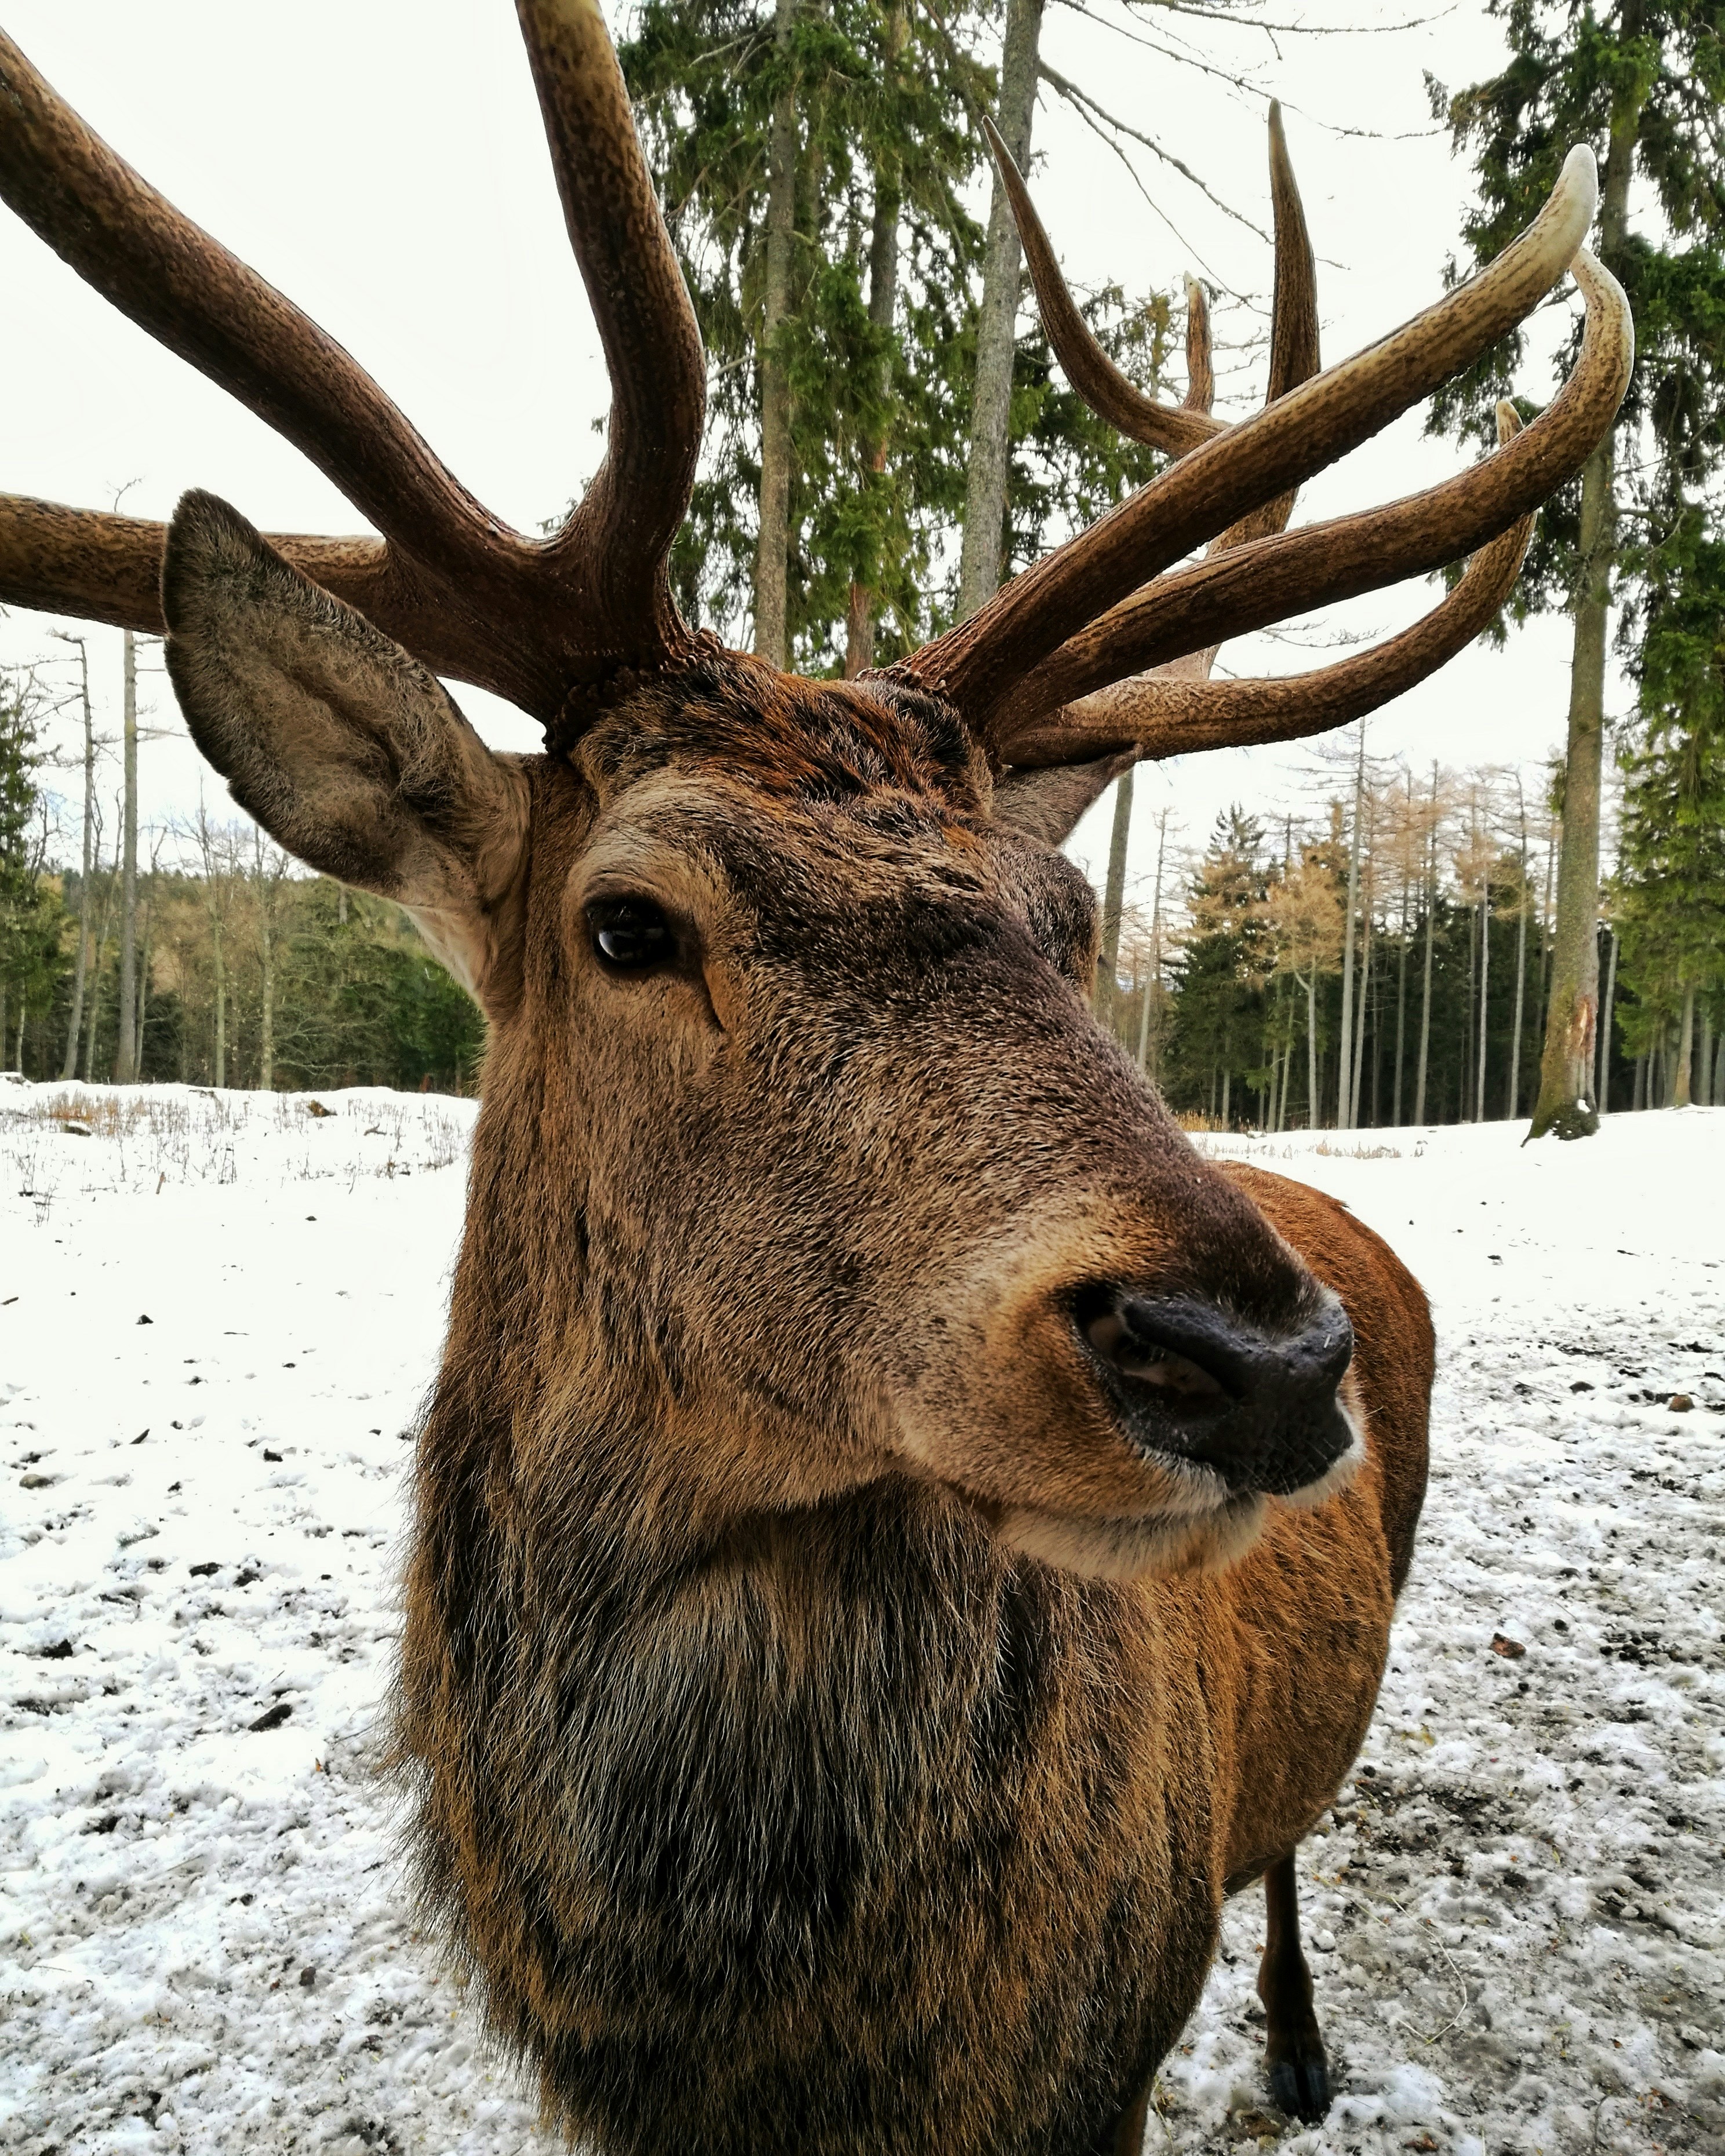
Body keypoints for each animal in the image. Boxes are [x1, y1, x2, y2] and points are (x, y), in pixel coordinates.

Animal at [0, 7, 1629, 2151]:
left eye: (1070, 915)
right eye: (627, 925)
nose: (1254, 1360)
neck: (778, 2040)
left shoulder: (1101, 2054)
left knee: (1291, 1841)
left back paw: (1294, 2040)